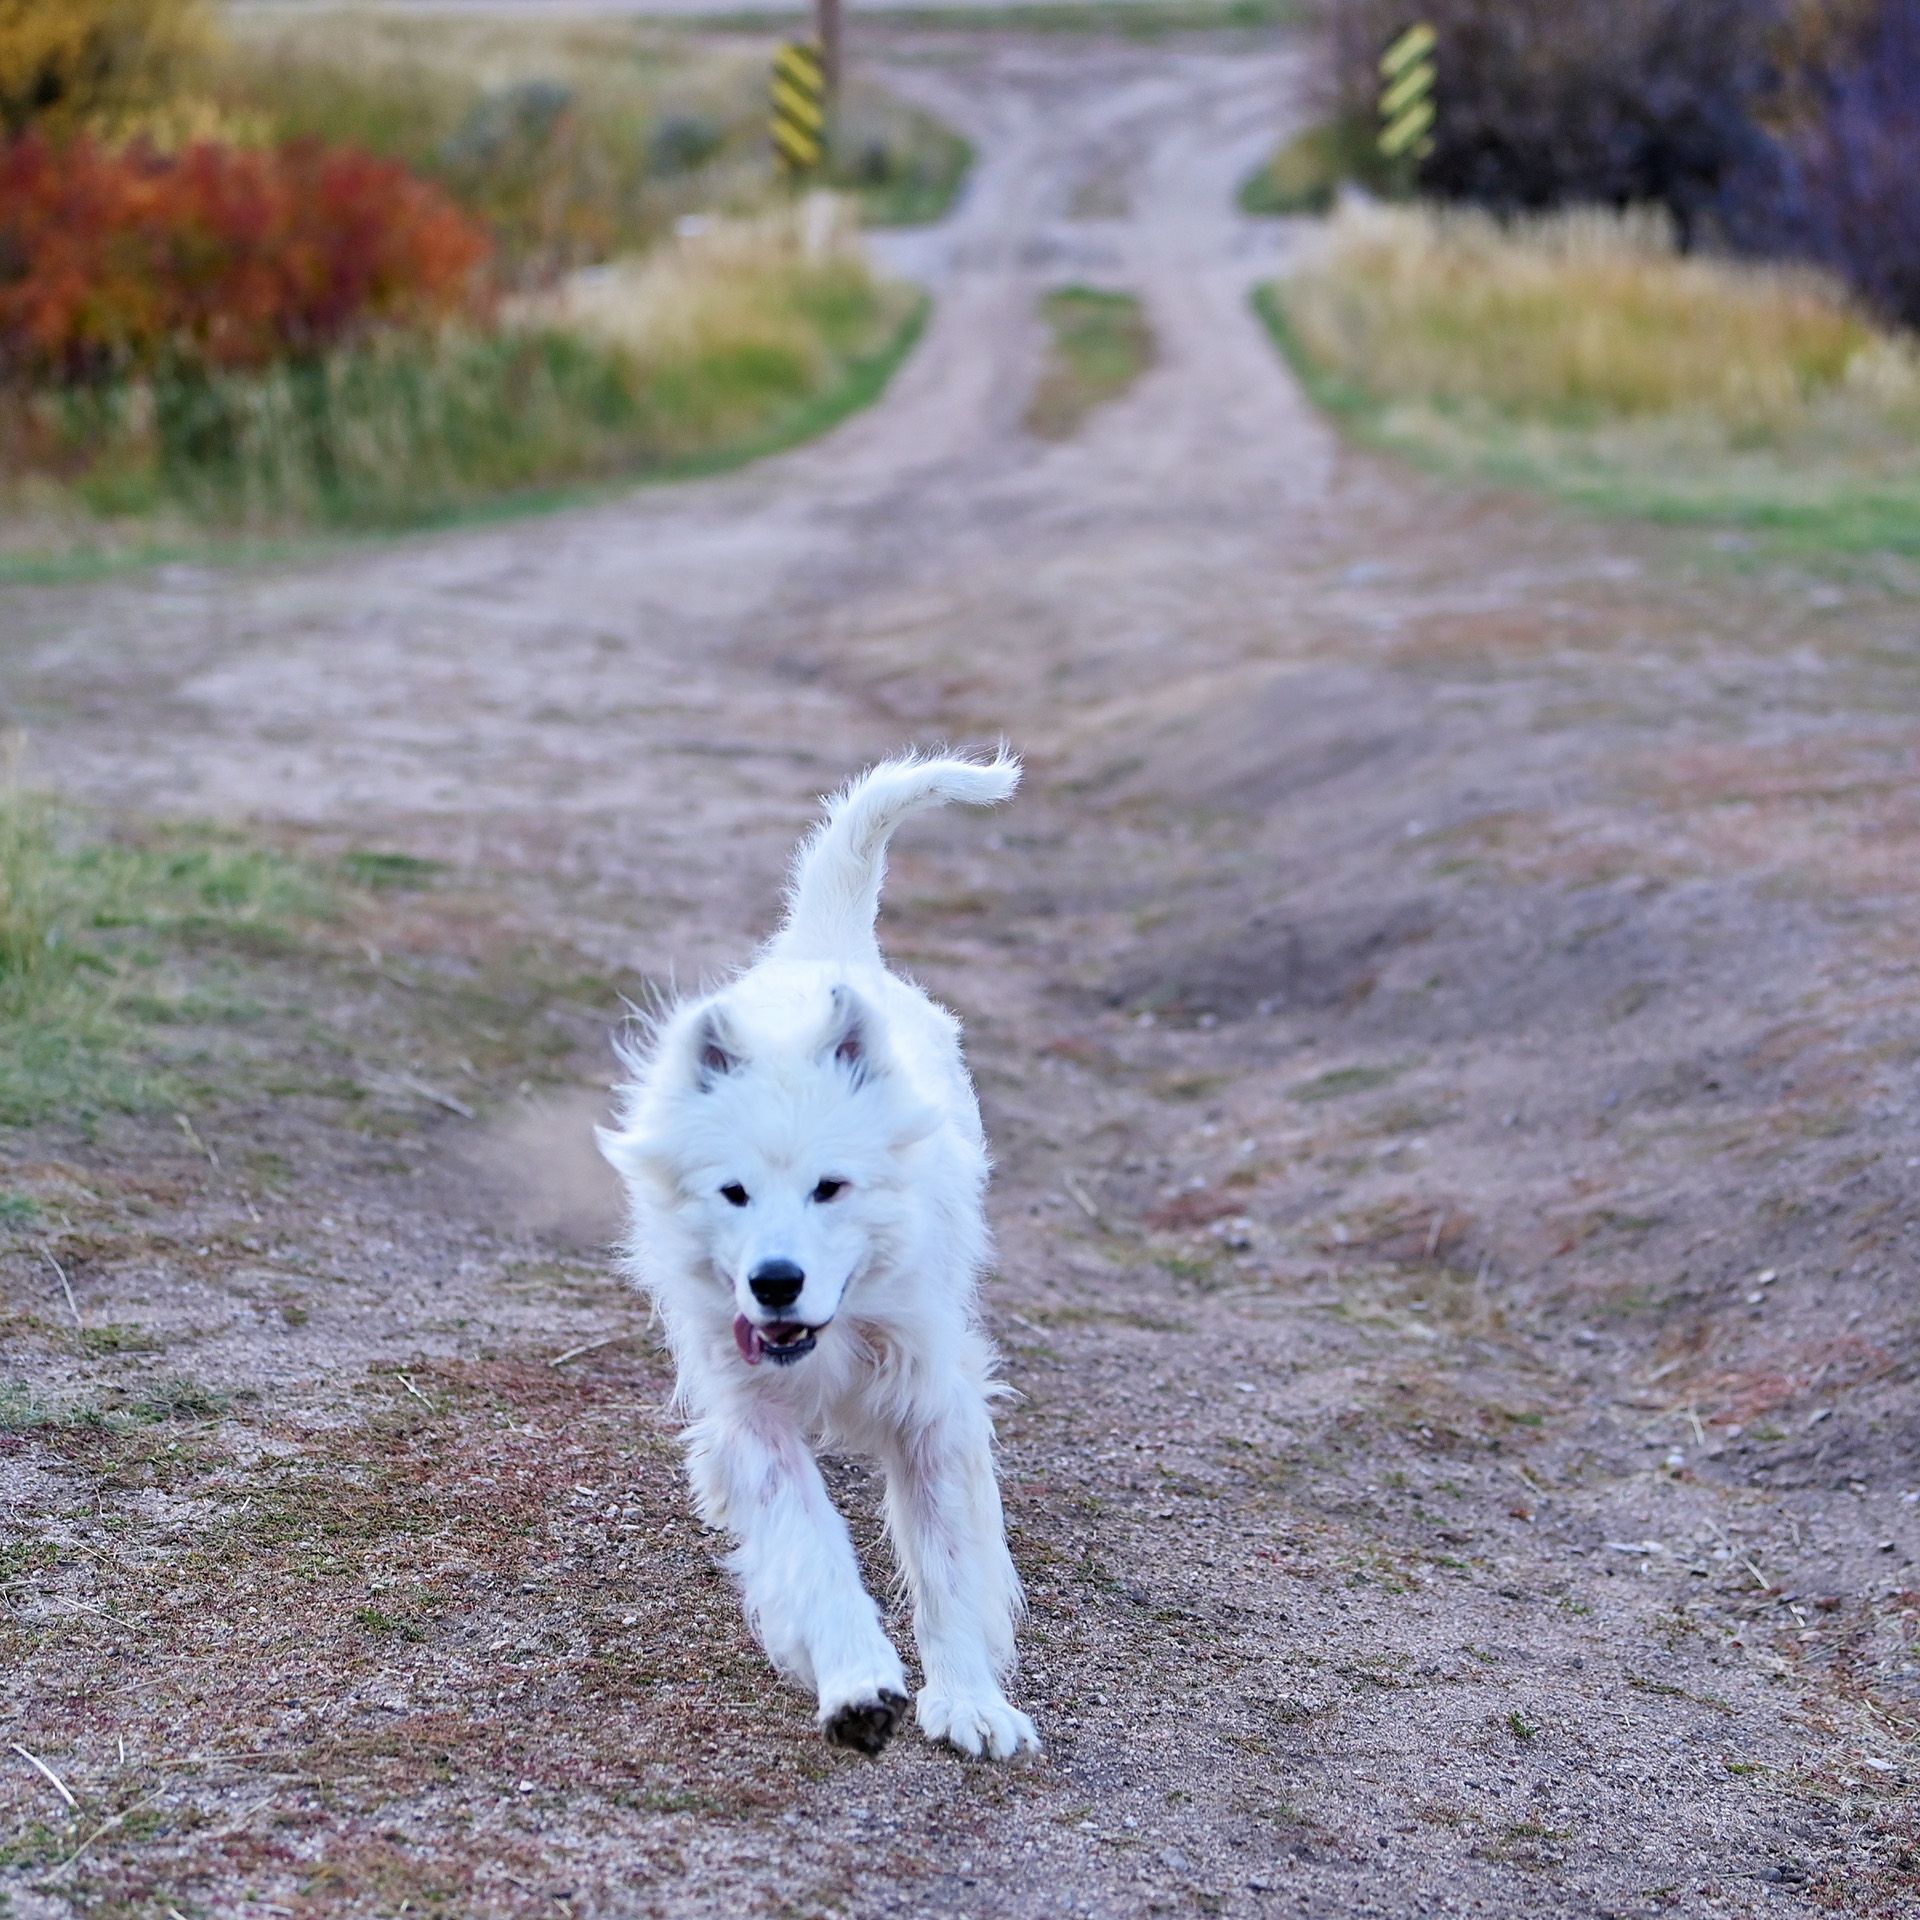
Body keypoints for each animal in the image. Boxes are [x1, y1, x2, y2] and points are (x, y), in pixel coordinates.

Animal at [602, 744, 1044, 1758]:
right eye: (733, 1193)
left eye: (830, 1188)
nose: (774, 1283)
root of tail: (825, 948)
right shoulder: (748, 1415)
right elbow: (808, 1544)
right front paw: (856, 1684)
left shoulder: (933, 1404)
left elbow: (949, 1560)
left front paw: (970, 1702)